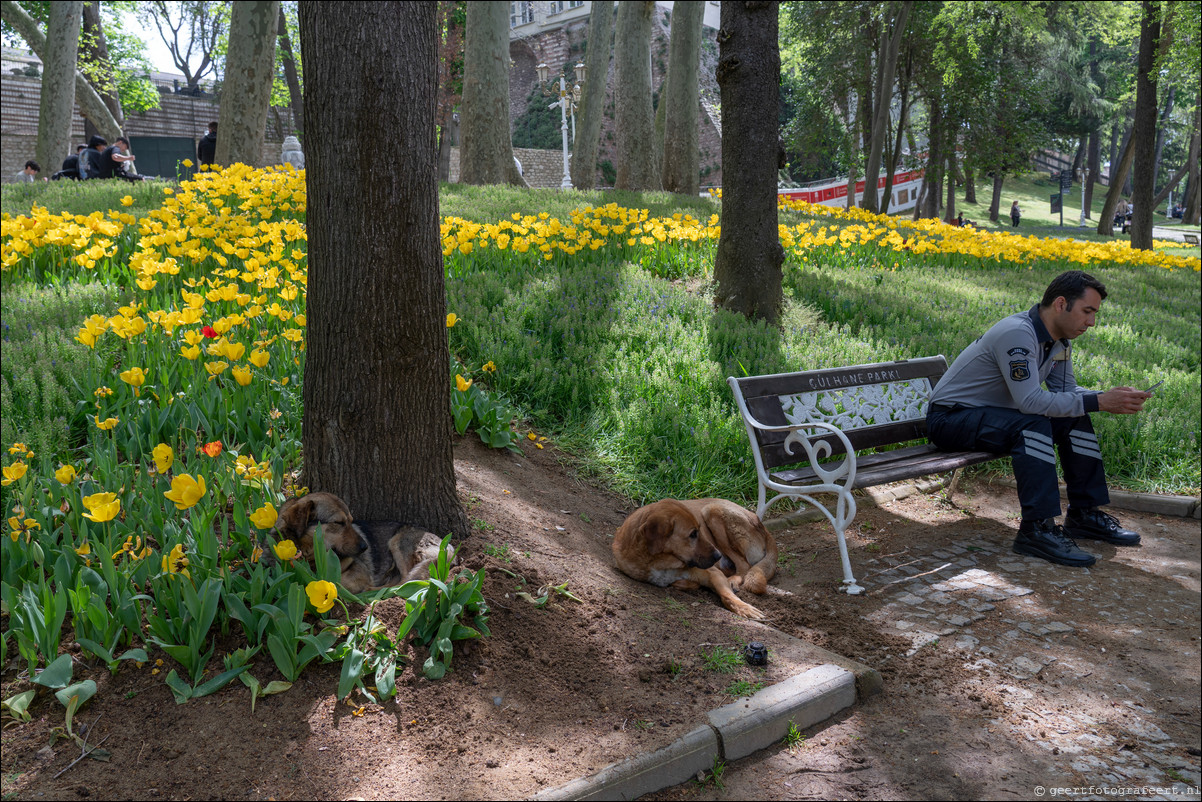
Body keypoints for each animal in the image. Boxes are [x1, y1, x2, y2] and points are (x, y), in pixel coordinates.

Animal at [270, 490, 444, 596]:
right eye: (339, 523)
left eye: (351, 521)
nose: (365, 547)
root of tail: (446, 545)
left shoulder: (360, 570)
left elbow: (336, 581)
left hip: (398, 542)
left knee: (405, 582)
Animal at [610, 495, 778, 620]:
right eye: (692, 534)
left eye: (699, 530)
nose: (718, 556)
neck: (661, 562)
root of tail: (761, 523)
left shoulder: (713, 573)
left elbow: (727, 596)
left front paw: (745, 608)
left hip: (712, 511)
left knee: (744, 565)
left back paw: (733, 581)